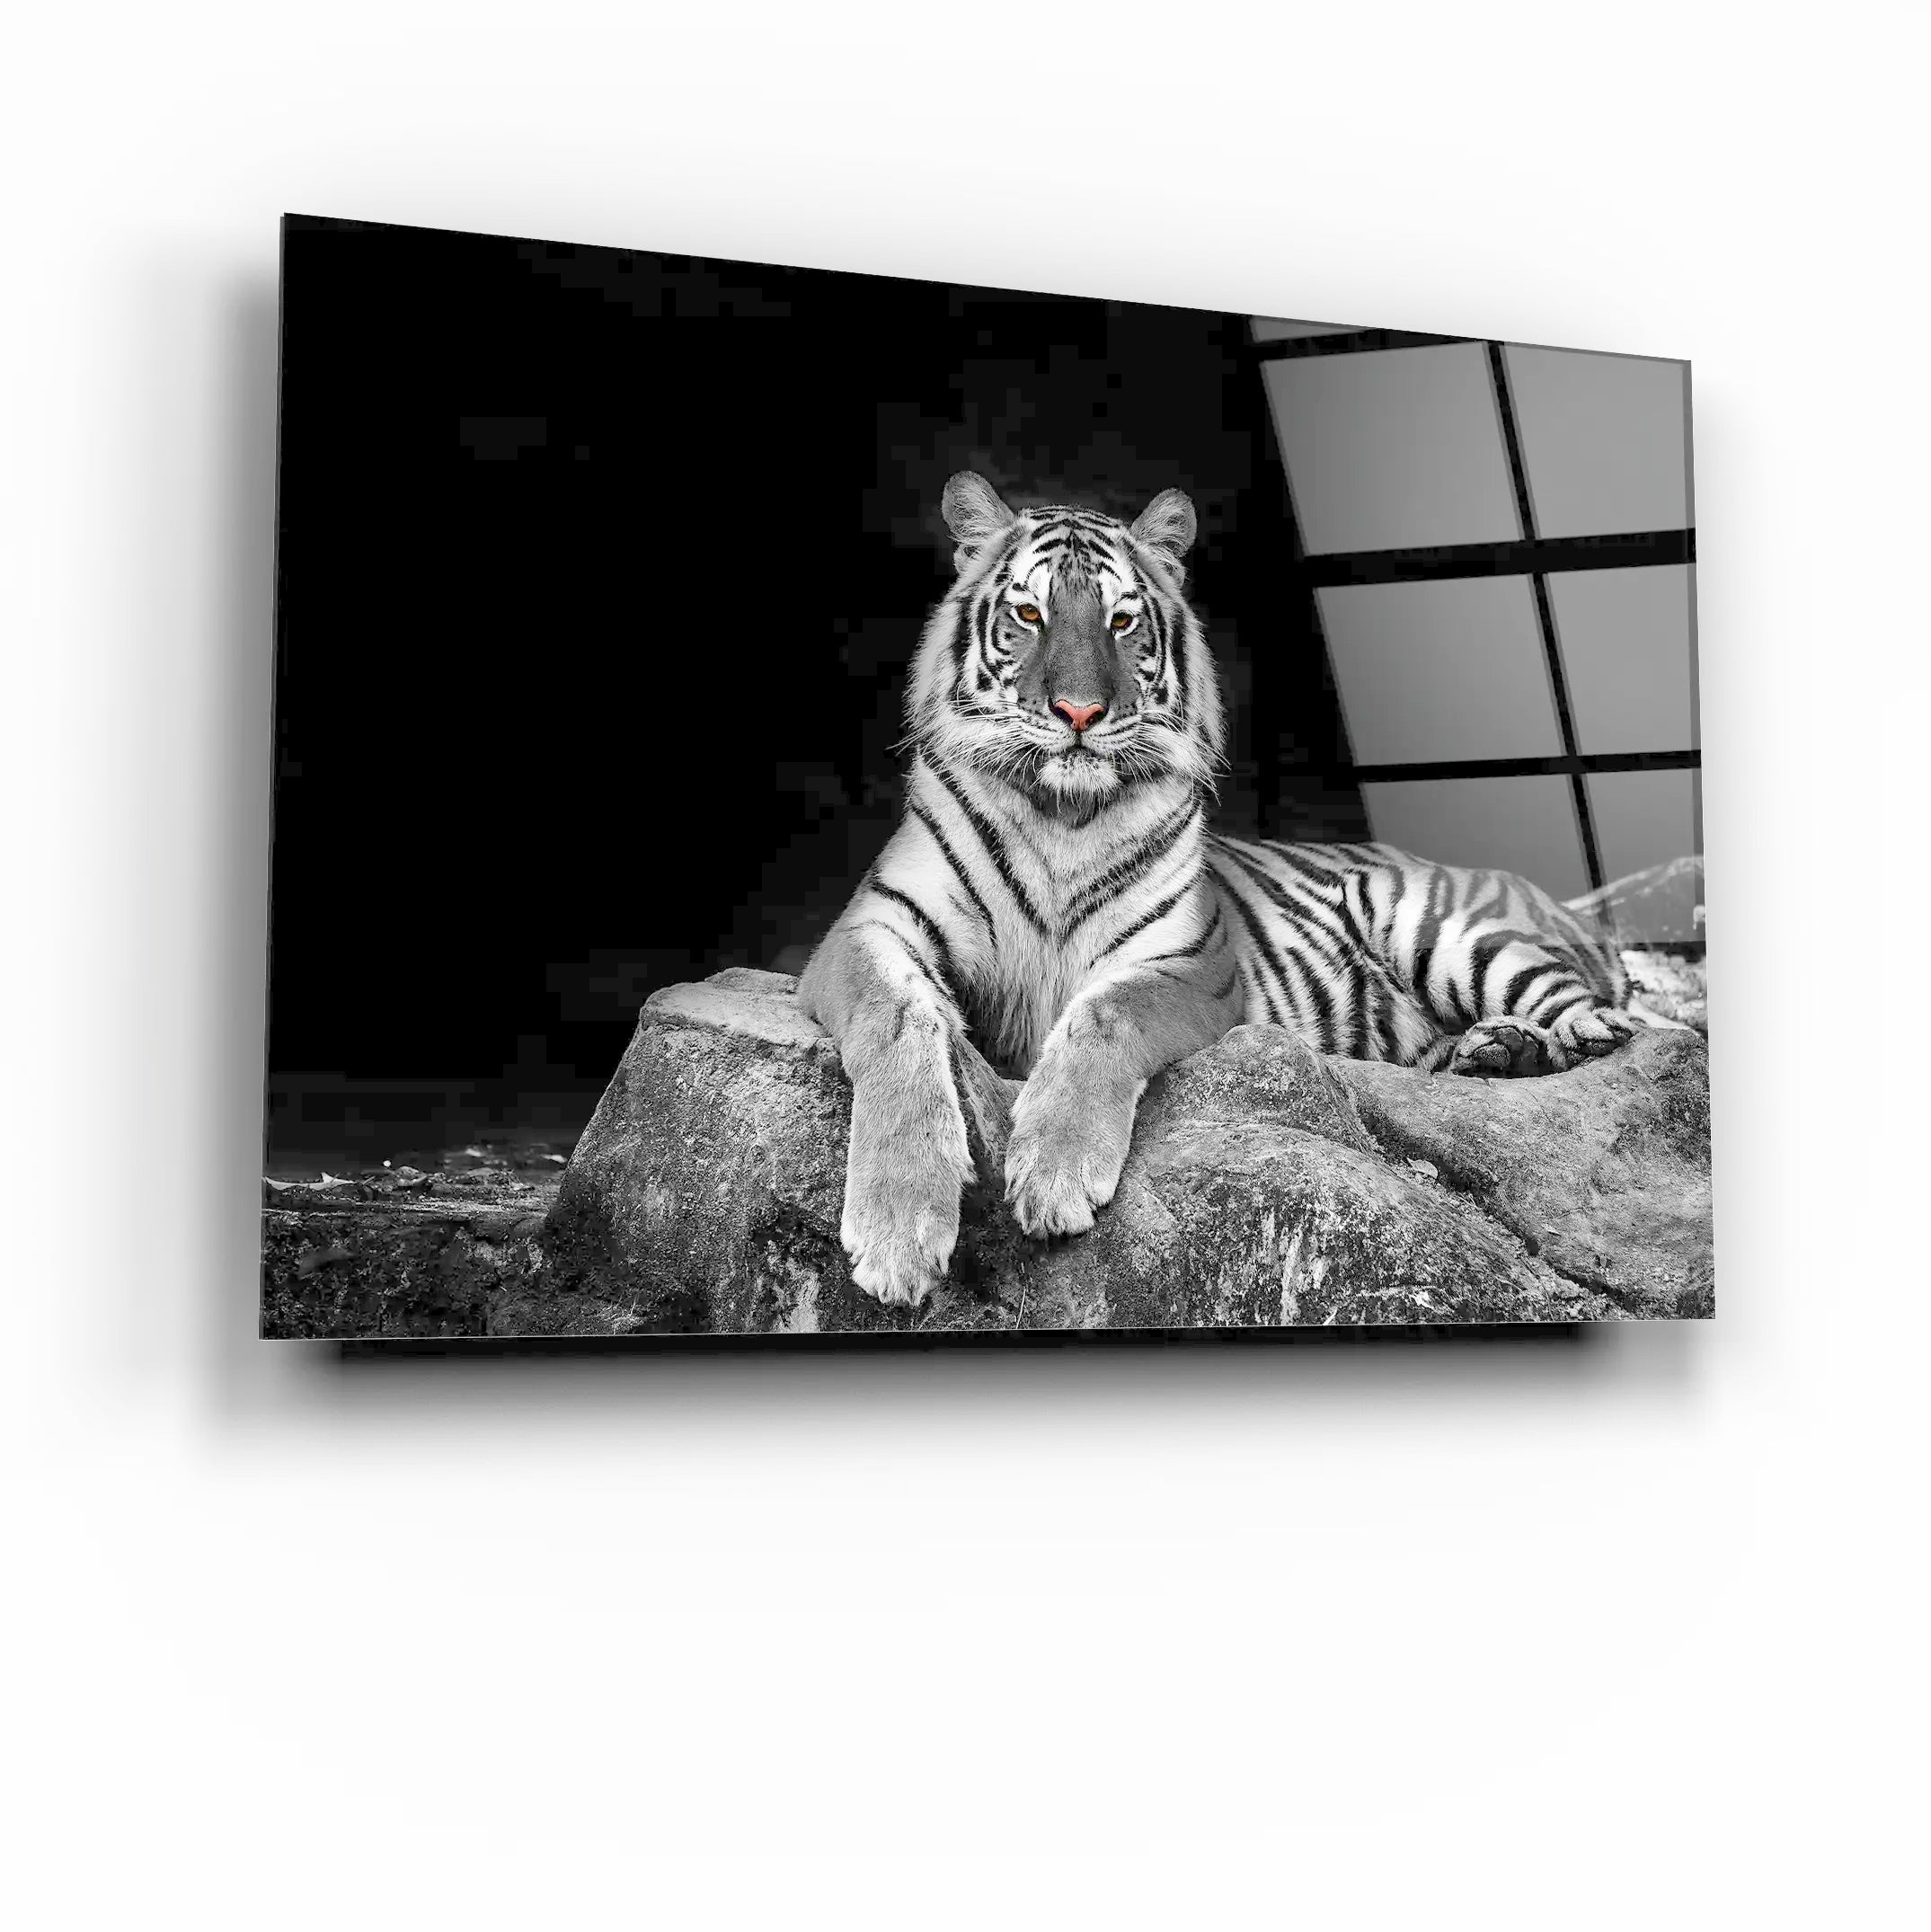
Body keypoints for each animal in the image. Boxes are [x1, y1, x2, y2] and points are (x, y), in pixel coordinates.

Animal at [796, 471, 1641, 1306]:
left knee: (1590, 1009)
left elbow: (1103, 1014)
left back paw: (1559, 1037)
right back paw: (1496, 1052)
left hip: (1439, 926)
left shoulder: (1191, 964)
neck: (1060, 816)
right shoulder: (868, 928)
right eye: (1029, 614)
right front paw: (898, 1230)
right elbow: (897, 1020)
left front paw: (1054, 1173)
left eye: (1121, 621)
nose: (1078, 712)